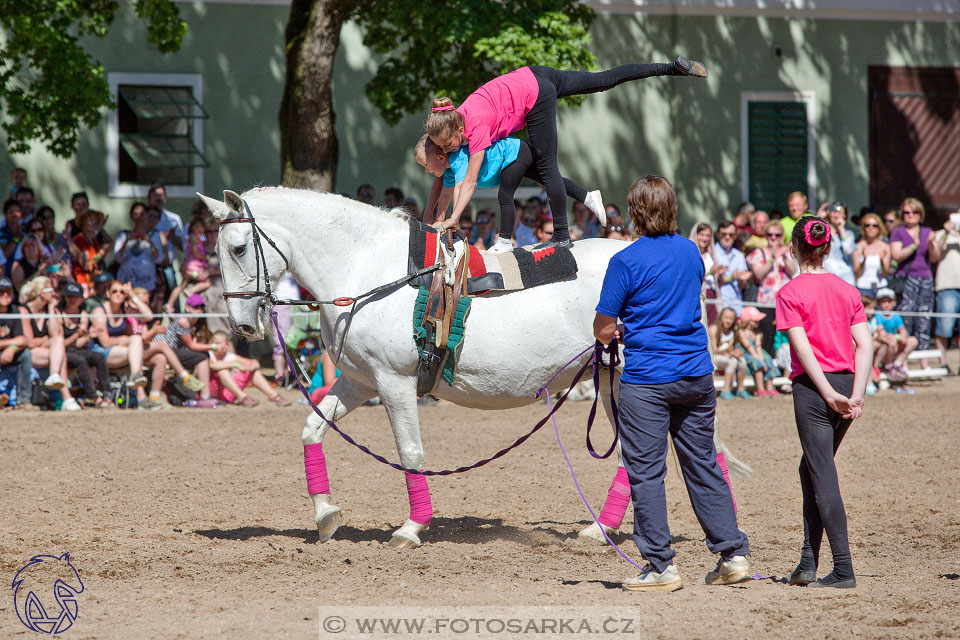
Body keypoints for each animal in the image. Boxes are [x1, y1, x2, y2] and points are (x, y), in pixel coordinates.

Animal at [201, 188, 632, 548]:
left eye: (239, 248)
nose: (242, 325)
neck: (366, 269)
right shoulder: (359, 381)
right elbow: (312, 429)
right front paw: (325, 514)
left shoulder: (395, 382)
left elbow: (409, 451)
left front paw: (412, 527)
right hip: (610, 378)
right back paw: (600, 529)